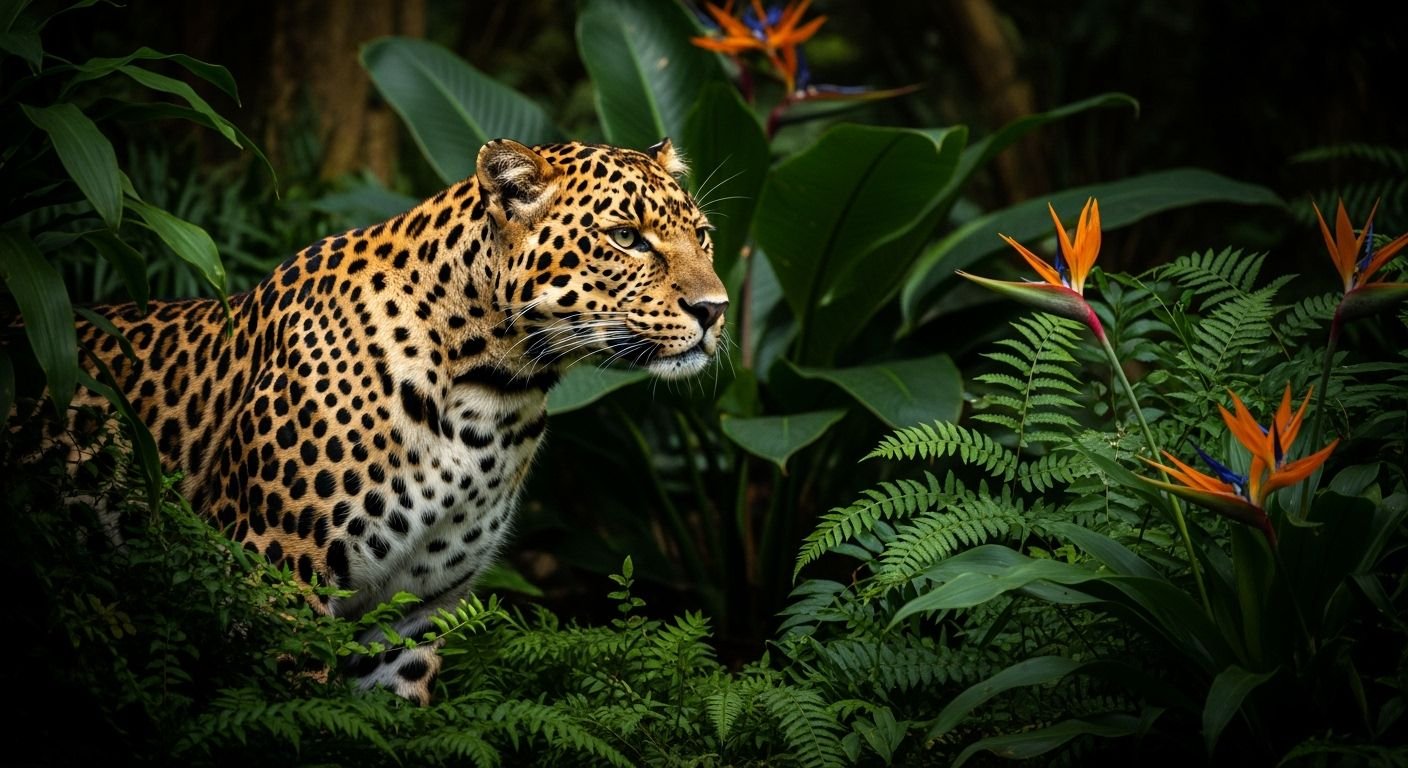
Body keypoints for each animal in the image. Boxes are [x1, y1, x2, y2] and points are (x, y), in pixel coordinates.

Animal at [35, 138, 727, 704]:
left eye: (703, 235)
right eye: (626, 238)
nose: (716, 308)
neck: (493, 393)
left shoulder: (410, 613)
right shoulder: (276, 578)